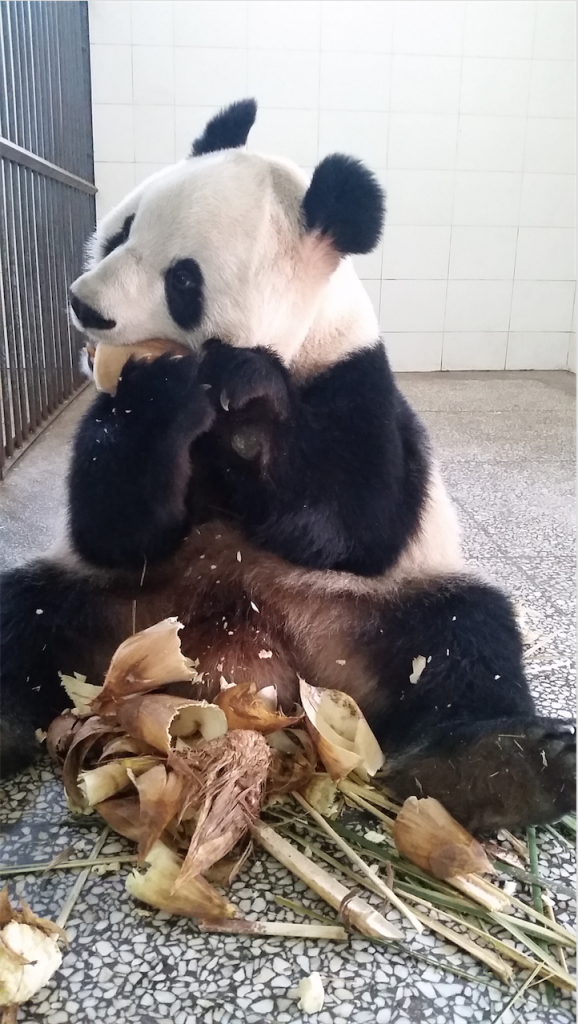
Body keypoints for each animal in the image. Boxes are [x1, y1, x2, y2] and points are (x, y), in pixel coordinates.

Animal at [0, 99, 573, 831]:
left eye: (182, 279)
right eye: (121, 230)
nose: (85, 305)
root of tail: (245, 665)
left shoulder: (356, 380)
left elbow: (355, 518)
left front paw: (252, 401)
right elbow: (113, 523)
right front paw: (164, 393)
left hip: (366, 613)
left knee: (463, 632)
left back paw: (500, 768)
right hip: (122, 612)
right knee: (25, 612)